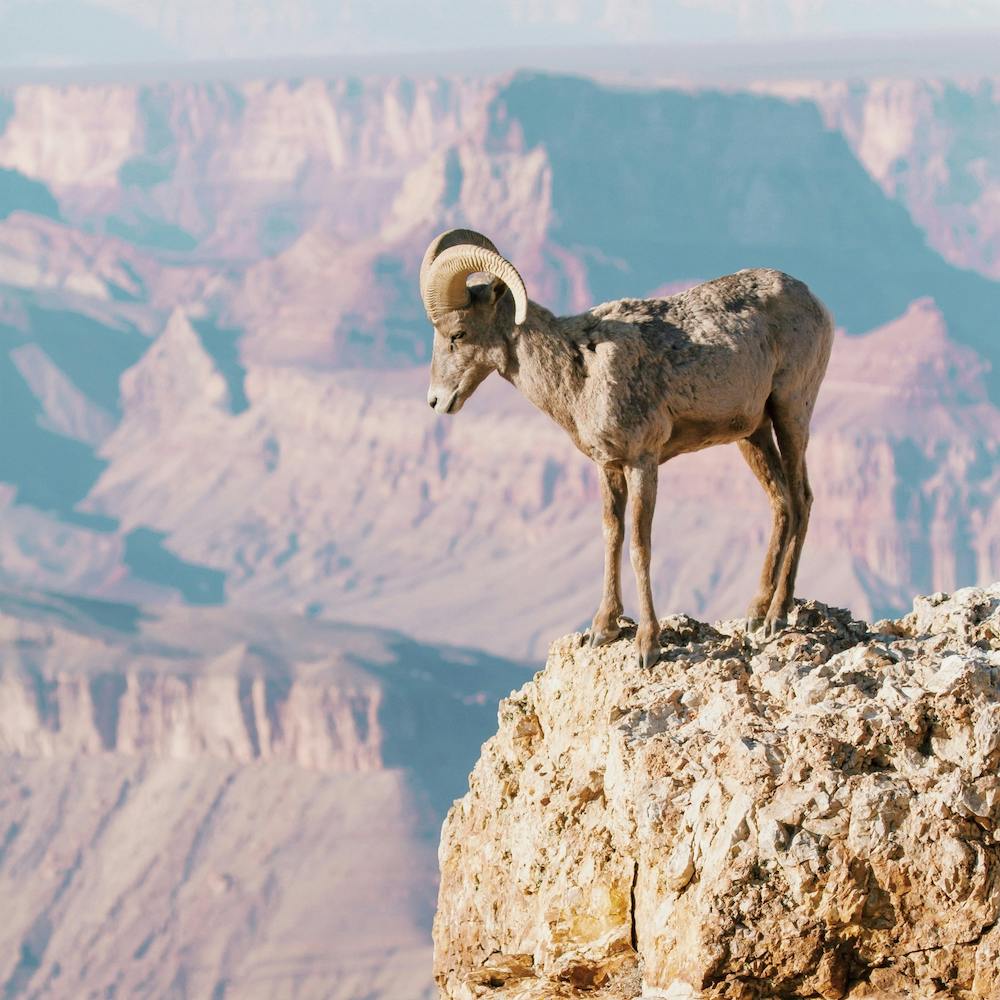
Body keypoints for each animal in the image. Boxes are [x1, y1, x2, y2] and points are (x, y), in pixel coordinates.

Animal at [420, 228, 833, 668]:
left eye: (458, 334)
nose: (437, 401)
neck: (580, 371)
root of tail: (815, 302)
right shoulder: (608, 467)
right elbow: (611, 535)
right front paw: (603, 629)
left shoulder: (643, 462)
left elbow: (639, 545)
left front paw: (647, 646)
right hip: (752, 434)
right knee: (781, 502)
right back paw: (756, 612)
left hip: (791, 412)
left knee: (802, 499)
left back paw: (777, 615)